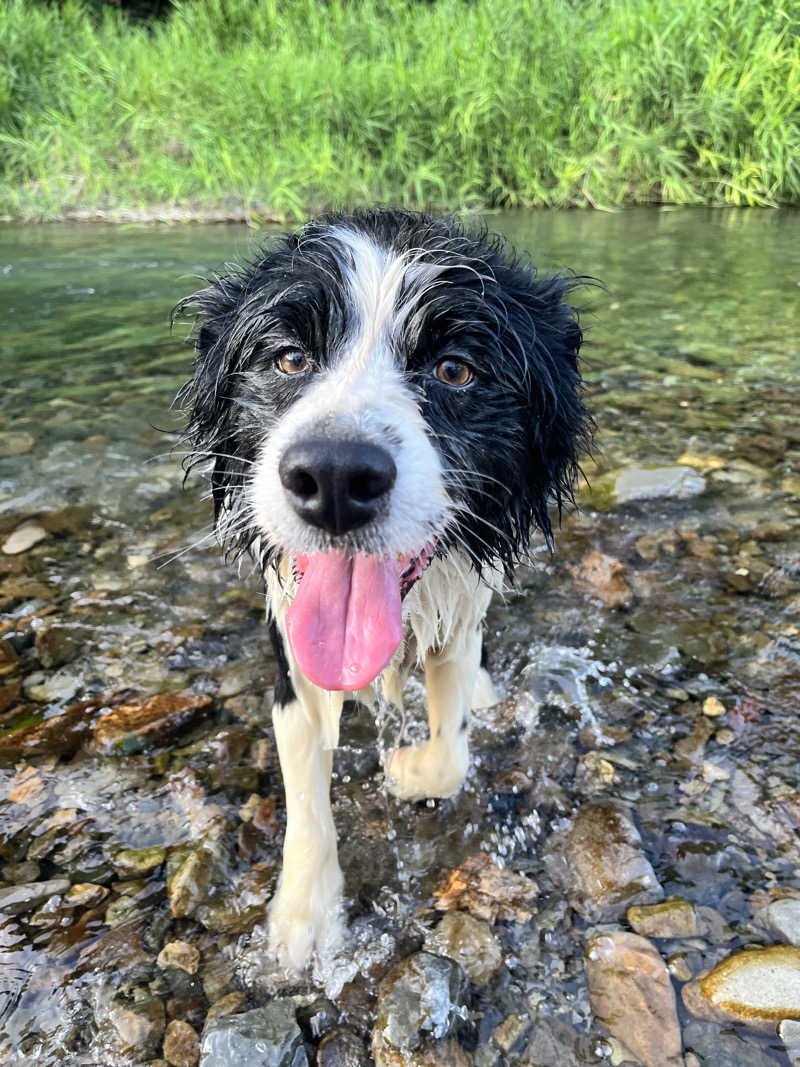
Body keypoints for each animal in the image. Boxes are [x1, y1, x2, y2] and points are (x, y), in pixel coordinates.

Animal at [178, 205, 593, 968]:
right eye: (289, 358)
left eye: (455, 369)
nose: (335, 476)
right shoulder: (291, 652)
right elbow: (306, 791)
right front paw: (305, 919)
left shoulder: (459, 614)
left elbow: (450, 754)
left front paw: (404, 768)